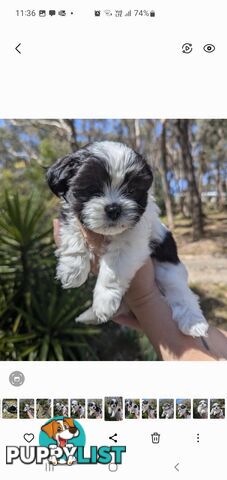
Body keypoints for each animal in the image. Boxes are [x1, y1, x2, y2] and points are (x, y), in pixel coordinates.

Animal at [47, 139, 208, 336]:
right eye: (92, 188)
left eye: (131, 190)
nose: (113, 208)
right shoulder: (72, 214)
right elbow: (72, 235)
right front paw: (72, 270)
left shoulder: (133, 239)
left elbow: (114, 270)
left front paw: (104, 300)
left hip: (170, 271)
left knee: (182, 293)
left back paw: (194, 322)